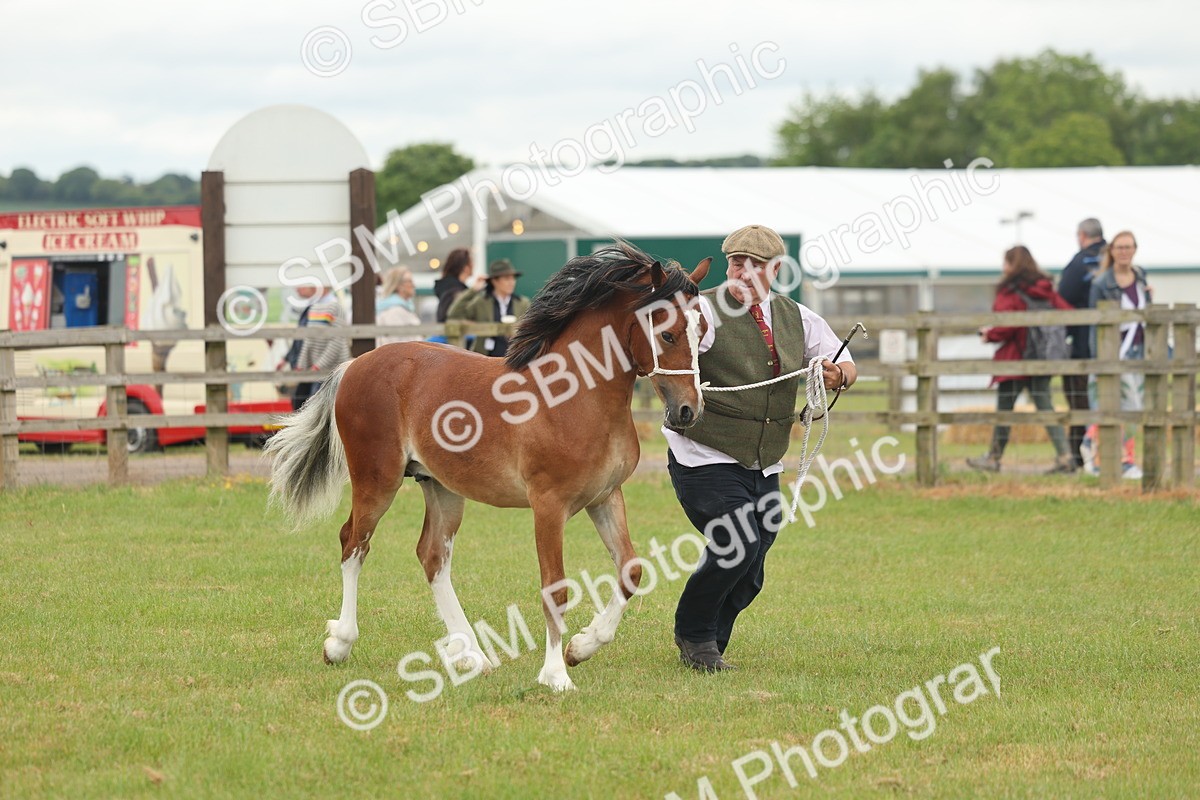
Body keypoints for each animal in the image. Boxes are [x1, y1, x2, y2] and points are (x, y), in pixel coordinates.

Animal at [266, 242, 711, 691]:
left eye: (702, 330)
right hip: (377, 480)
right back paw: (340, 644)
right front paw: (556, 675)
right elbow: (555, 589)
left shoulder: (604, 498)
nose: (688, 411)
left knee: (432, 556)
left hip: (440, 486)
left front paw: (581, 647)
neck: (574, 398)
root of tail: (354, 365)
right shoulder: (549, 506)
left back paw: (472, 655)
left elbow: (631, 570)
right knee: (354, 542)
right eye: (667, 333)